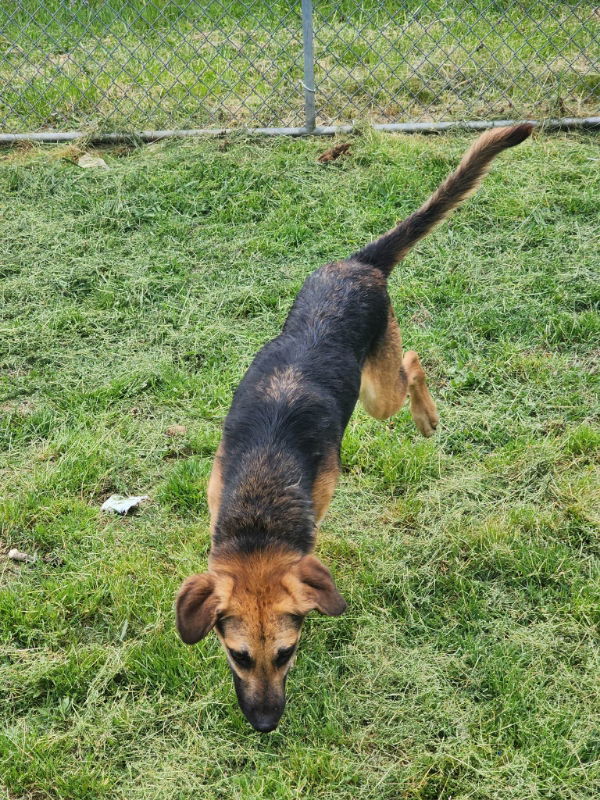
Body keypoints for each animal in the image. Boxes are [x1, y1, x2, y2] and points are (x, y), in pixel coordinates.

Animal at [176, 123, 532, 732]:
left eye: (287, 654)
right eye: (238, 655)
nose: (265, 725)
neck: (259, 512)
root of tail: (359, 264)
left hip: (379, 391)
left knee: (412, 362)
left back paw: (427, 418)